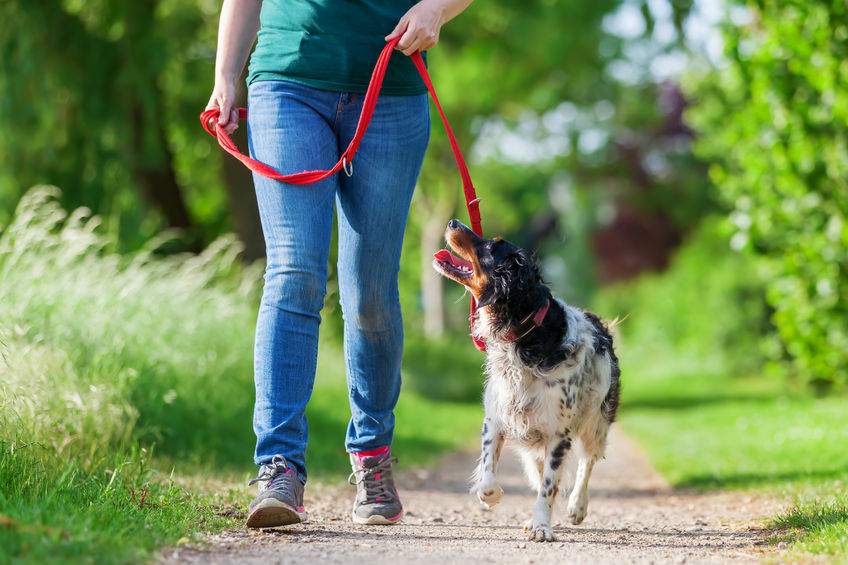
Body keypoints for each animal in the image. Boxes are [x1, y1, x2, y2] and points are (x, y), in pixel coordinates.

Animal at [434, 218, 620, 540]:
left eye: (490, 246)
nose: (453, 221)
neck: (524, 335)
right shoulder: (497, 417)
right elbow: (488, 472)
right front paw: (491, 496)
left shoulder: (559, 432)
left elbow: (549, 486)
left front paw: (541, 526)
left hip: (597, 421)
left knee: (587, 462)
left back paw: (577, 506)